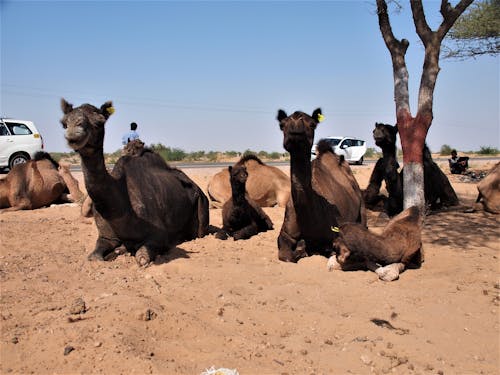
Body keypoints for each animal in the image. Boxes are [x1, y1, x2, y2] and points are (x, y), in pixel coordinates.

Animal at [60, 98, 209, 266]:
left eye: (99, 122)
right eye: (65, 122)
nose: (74, 132)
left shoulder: (159, 237)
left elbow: (142, 258)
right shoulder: (106, 236)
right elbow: (94, 256)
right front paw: (116, 251)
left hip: (202, 208)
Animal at [276, 107, 366, 262]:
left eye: (312, 124)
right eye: (282, 124)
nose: (296, 132)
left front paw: (303, 248)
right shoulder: (286, 234)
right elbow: (285, 255)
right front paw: (301, 248)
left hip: (361, 202)